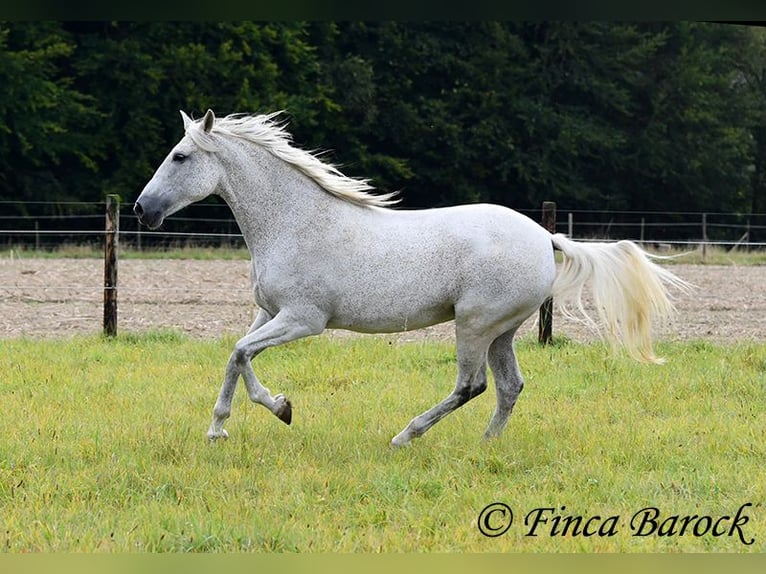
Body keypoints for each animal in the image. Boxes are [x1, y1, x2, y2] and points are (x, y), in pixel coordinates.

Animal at [135, 109, 692, 450]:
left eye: (180, 156)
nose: (143, 209)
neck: (294, 222)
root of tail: (544, 236)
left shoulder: (303, 320)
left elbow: (239, 353)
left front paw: (265, 413)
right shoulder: (268, 313)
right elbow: (237, 354)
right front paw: (237, 423)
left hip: (473, 324)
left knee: (472, 384)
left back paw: (406, 436)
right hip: (502, 331)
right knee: (510, 387)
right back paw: (485, 446)